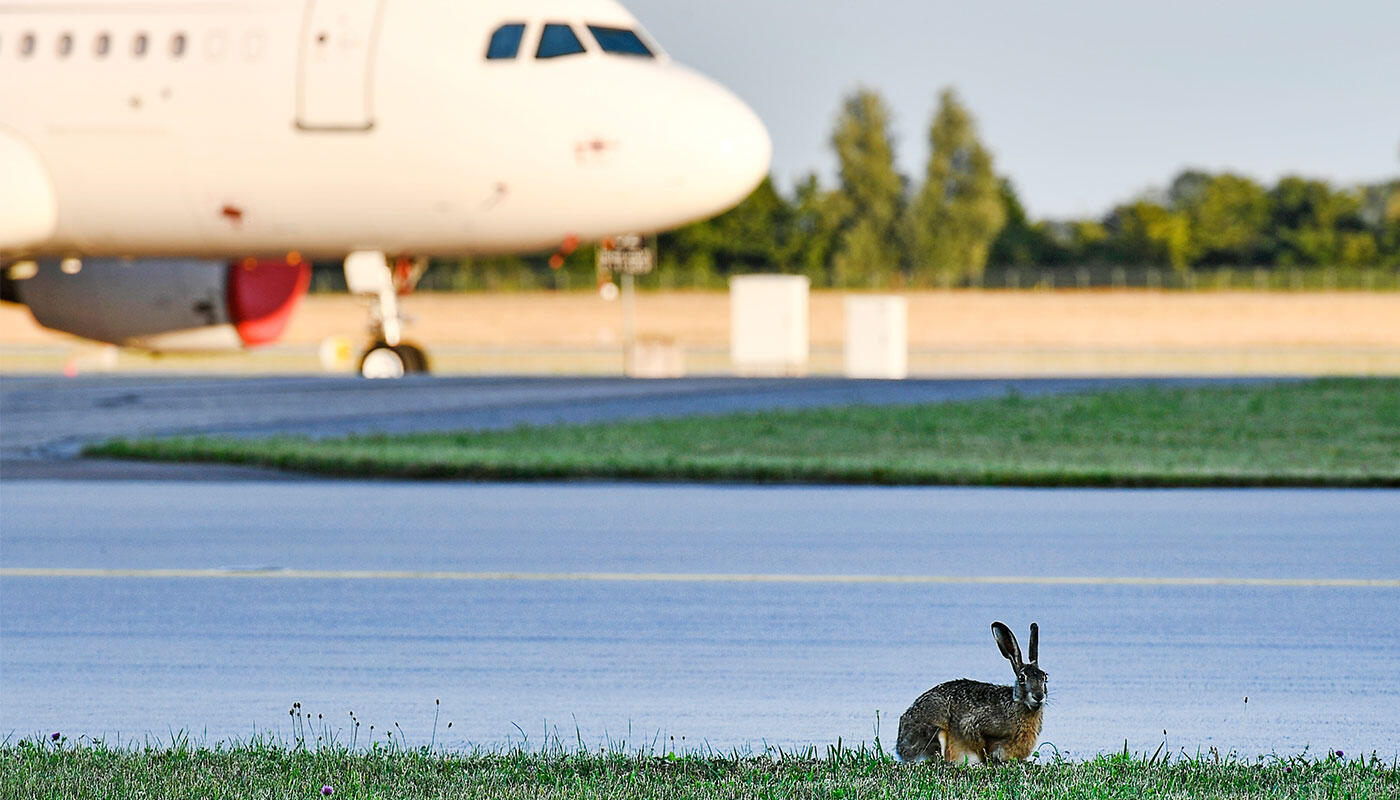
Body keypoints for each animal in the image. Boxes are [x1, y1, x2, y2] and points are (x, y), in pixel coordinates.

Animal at [896, 622, 1047, 764]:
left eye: (1045, 677)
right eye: (1022, 678)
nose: (1038, 696)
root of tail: (900, 744)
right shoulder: (974, 725)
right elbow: (981, 745)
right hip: (936, 732)